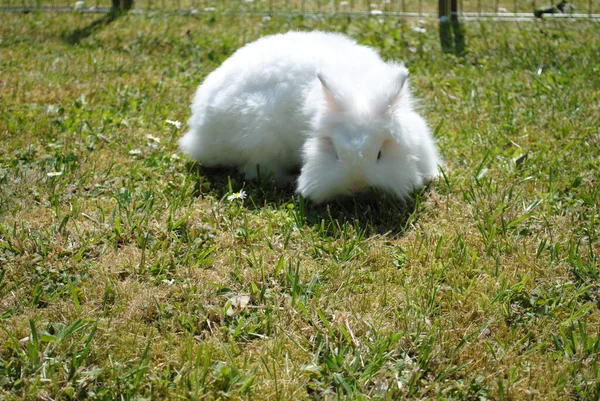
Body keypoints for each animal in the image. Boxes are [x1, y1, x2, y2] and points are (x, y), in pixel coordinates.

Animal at [179, 30, 440, 203]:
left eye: (379, 154)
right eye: (336, 153)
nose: (358, 187)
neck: (359, 91)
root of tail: (198, 132)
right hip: (259, 139)